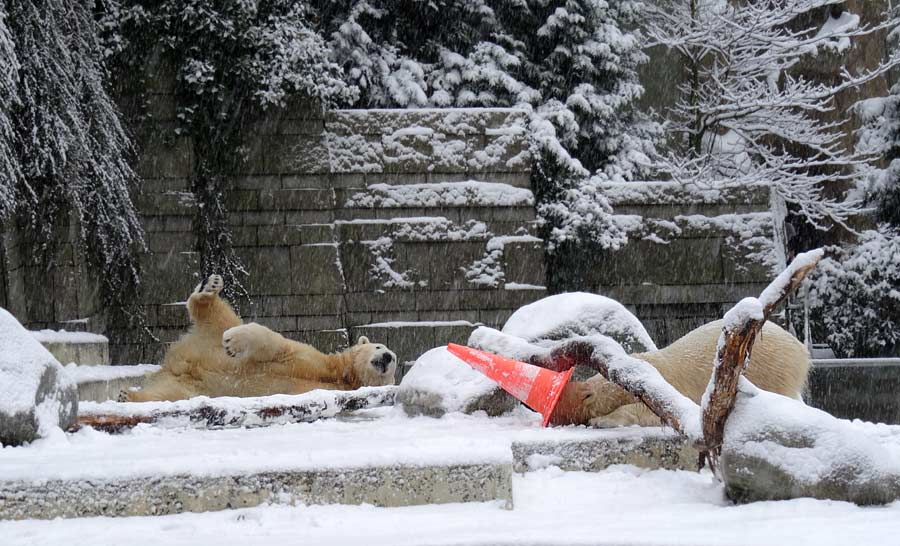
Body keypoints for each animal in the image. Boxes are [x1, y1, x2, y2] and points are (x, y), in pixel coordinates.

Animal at [124, 274, 398, 402]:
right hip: (210, 339)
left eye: (394, 361)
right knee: (220, 317)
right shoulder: (313, 359)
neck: (344, 375)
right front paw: (233, 342)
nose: (387, 356)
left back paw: (129, 395)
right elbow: (279, 346)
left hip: (193, 385)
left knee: (170, 393)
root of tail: (176, 363)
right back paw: (208, 289)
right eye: (379, 345)